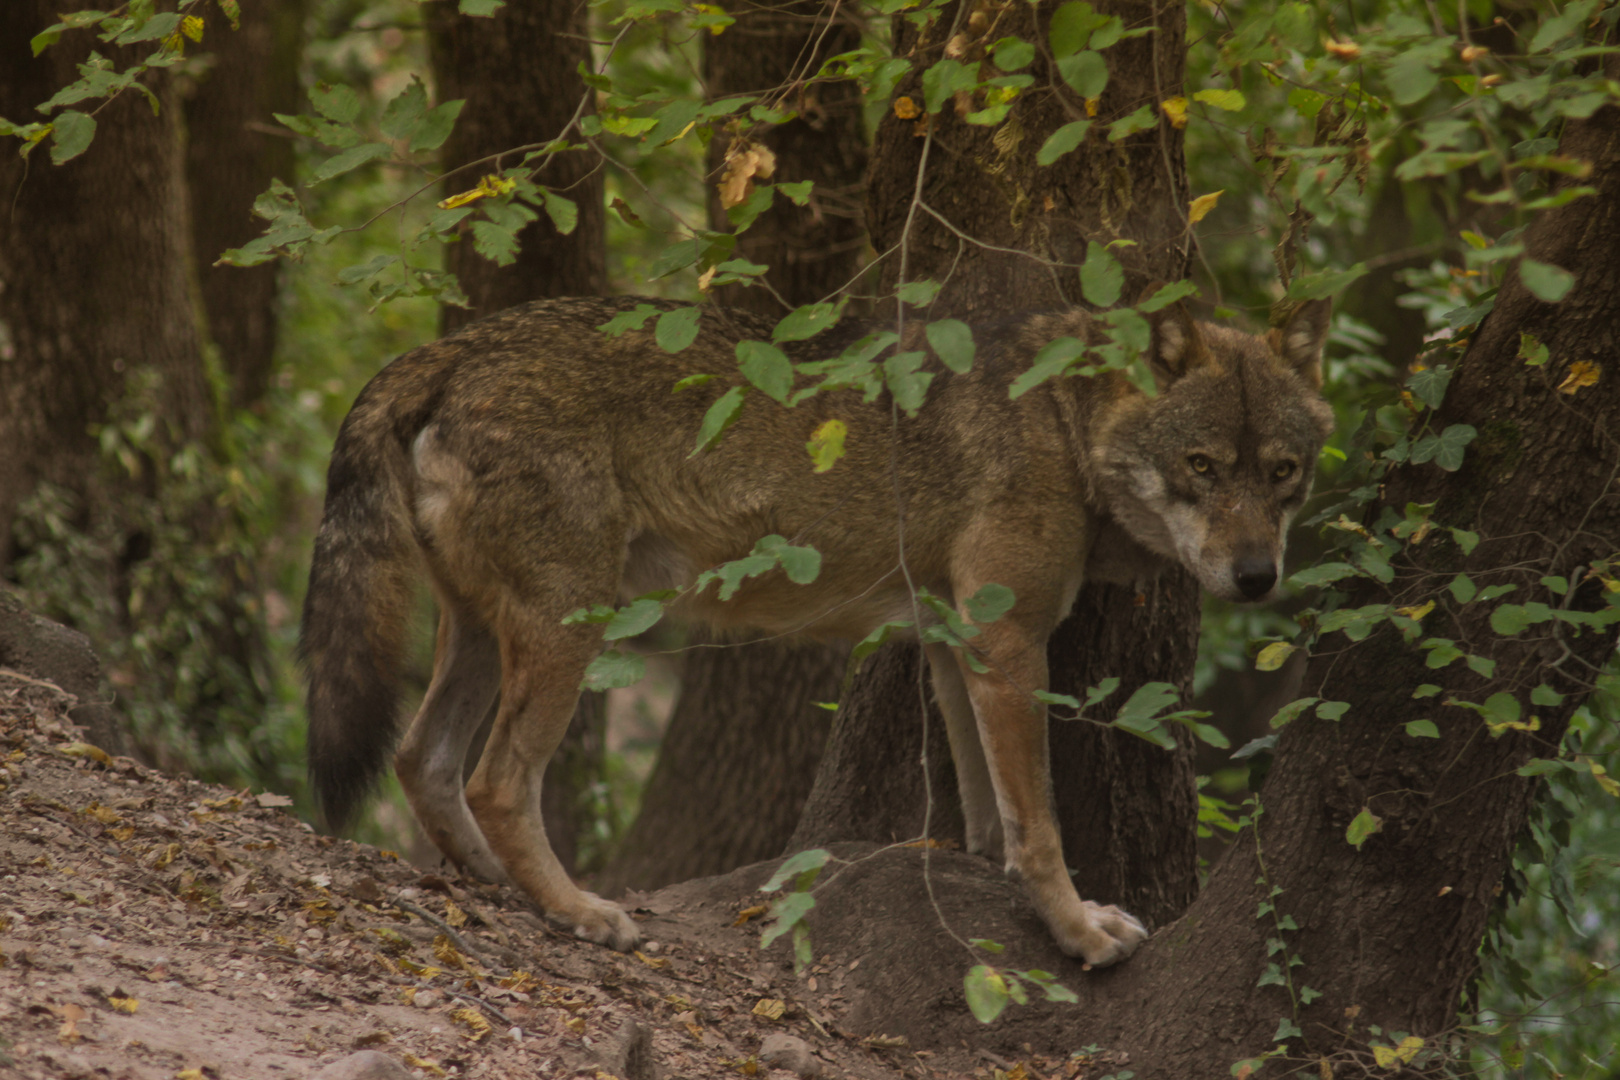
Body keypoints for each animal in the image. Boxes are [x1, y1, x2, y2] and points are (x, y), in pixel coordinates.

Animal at [298, 291, 1334, 965]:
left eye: (1282, 472)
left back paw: (500, 890)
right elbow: (1038, 824)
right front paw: (1077, 932)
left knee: (424, 761)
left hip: (485, 635)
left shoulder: (955, 643)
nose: (1256, 576)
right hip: (568, 631)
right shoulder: (1007, 644)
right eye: (1202, 466)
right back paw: (581, 912)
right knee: (497, 781)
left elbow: (987, 812)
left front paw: (995, 887)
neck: (1059, 416)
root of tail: (455, 345)